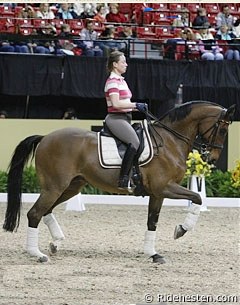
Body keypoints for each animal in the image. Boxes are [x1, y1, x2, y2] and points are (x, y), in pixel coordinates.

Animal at [1, 101, 235, 262]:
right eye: (223, 129)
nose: (212, 158)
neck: (170, 141)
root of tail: (45, 138)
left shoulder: (157, 193)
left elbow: (152, 221)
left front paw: (153, 254)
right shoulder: (165, 187)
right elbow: (197, 198)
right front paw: (181, 230)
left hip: (70, 186)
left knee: (45, 211)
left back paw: (55, 243)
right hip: (55, 186)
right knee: (35, 213)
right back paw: (38, 254)